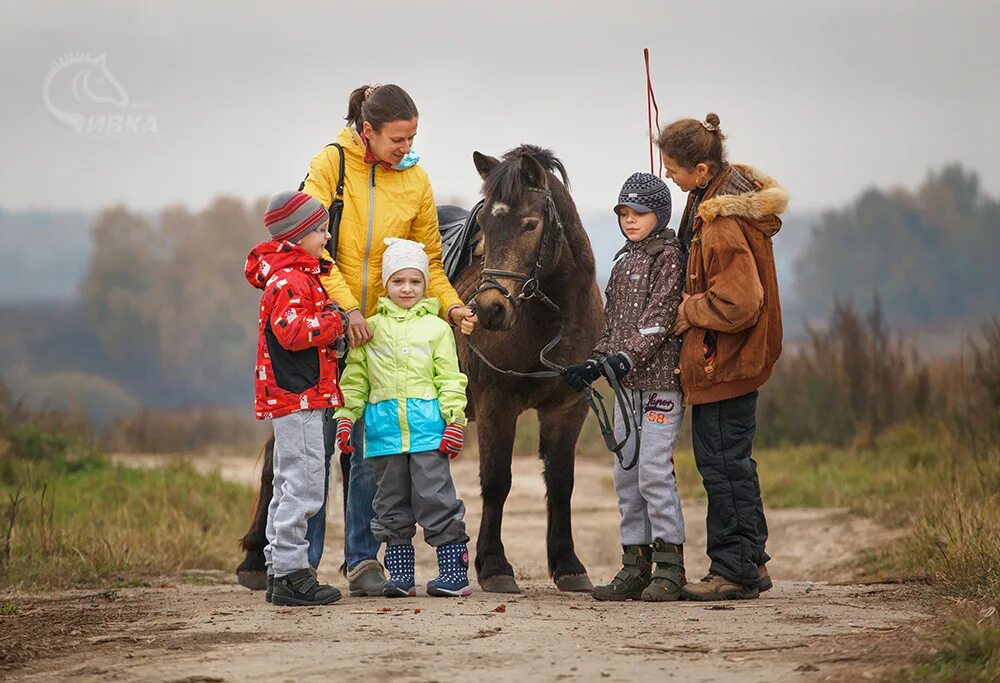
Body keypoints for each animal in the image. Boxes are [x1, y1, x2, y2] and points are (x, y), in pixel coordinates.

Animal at [235, 144, 604, 592]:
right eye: (484, 226)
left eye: (530, 223)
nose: (489, 309)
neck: (551, 320)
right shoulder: (498, 404)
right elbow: (497, 481)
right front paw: (495, 565)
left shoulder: (568, 408)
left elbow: (562, 481)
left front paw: (568, 564)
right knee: (277, 466)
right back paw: (255, 560)